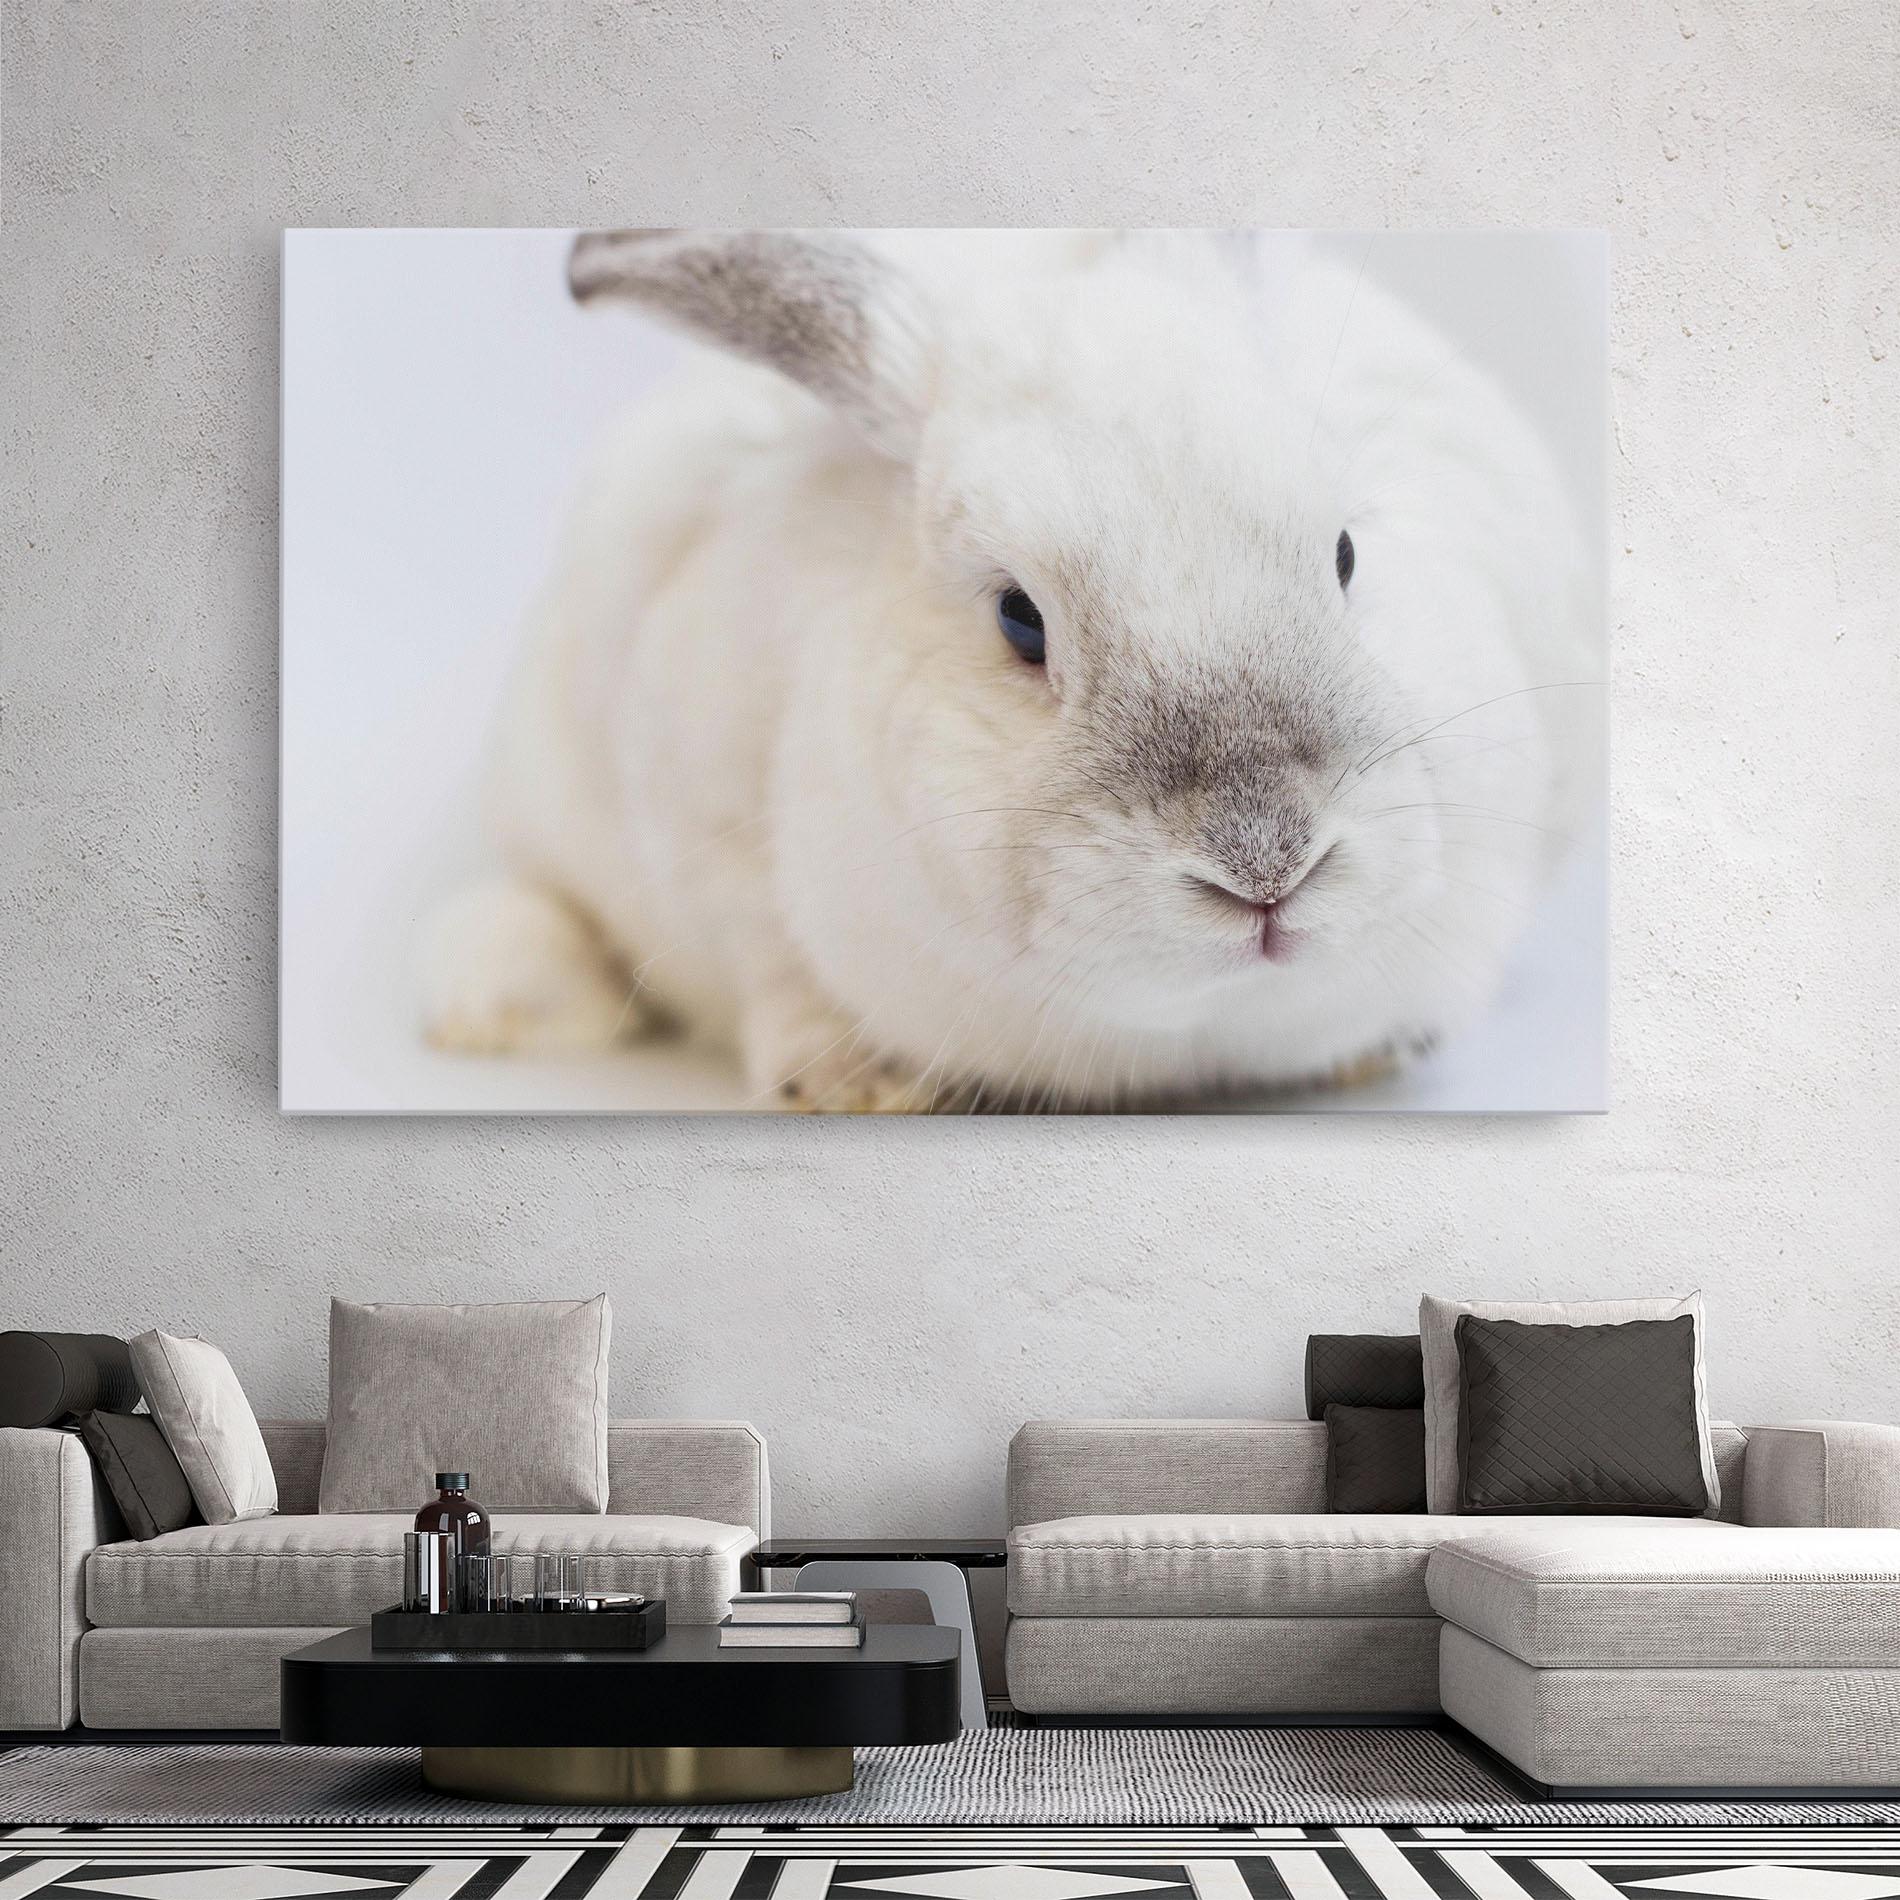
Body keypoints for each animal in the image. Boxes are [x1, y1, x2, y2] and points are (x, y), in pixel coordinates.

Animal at [418, 229, 1600, 1111]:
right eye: (1019, 619)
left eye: (1346, 553)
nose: (1266, 864)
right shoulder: (705, 830)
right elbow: (772, 967)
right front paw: (856, 1081)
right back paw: (492, 1008)